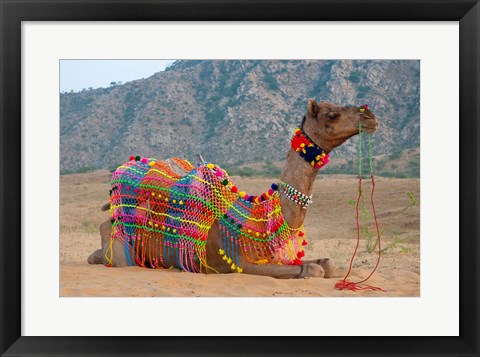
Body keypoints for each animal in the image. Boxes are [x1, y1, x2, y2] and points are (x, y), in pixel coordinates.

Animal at [88, 99, 376, 278]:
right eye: (332, 114)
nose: (370, 116)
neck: (259, 214)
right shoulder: (243, 263)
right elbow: (313, 270)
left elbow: (327, 264)